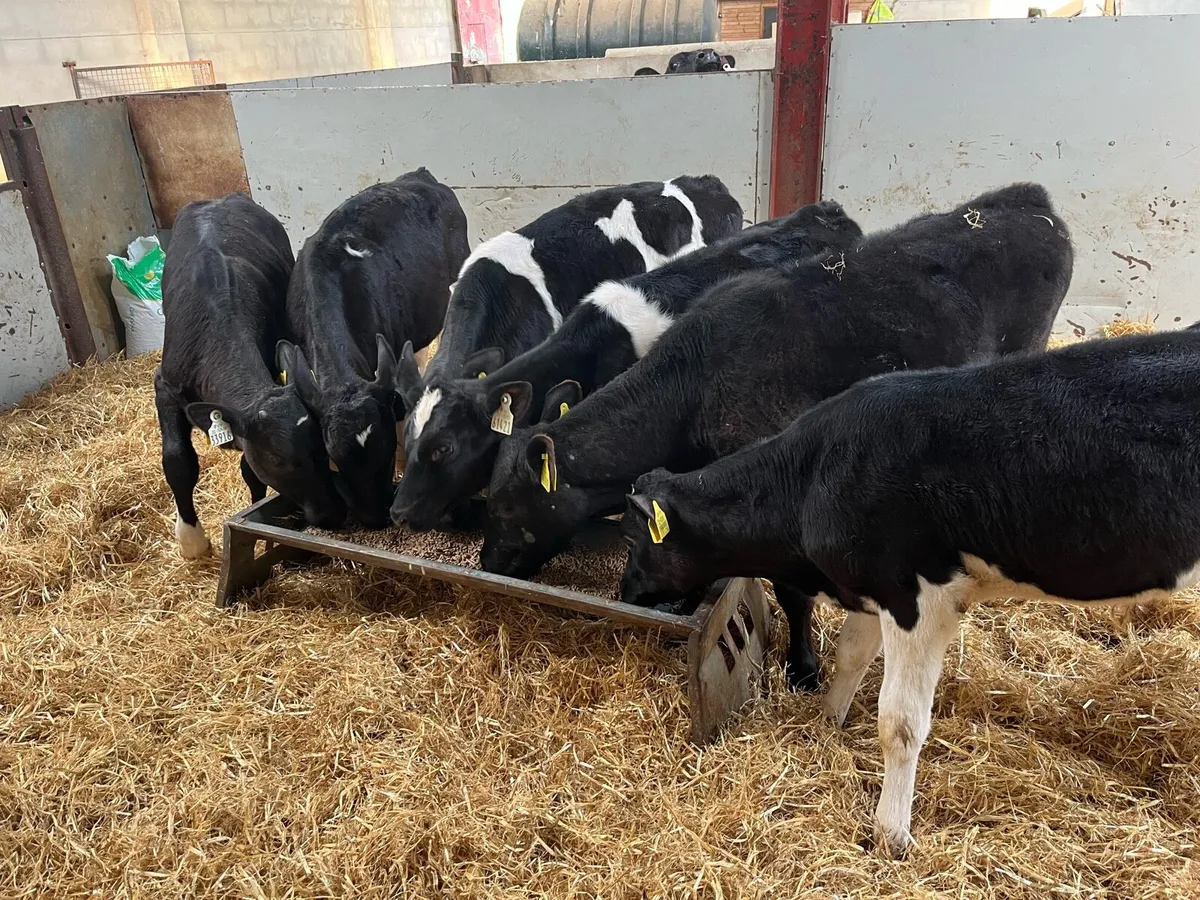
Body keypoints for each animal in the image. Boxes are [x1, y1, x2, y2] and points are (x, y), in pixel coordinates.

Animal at [155, 193, 346, 559]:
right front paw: (191, 540)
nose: (331, 512)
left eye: (323, 444)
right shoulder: (165, 386)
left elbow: (249, 469)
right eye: (278, 458)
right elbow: (178, 461)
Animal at [481, 183, 1073, 692]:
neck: (694, 384)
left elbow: (791, 592)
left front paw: (803, 667)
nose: (486, 563)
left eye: (508, 508)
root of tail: (1024, 199)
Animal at [618, 327, 1200, 856]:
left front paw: (890, 832)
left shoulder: (917, 599)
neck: (814, 477)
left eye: (630, 540)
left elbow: (899, 721)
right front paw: (827, 724)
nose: (626, 593)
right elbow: (851, 656)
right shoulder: (872, 587)